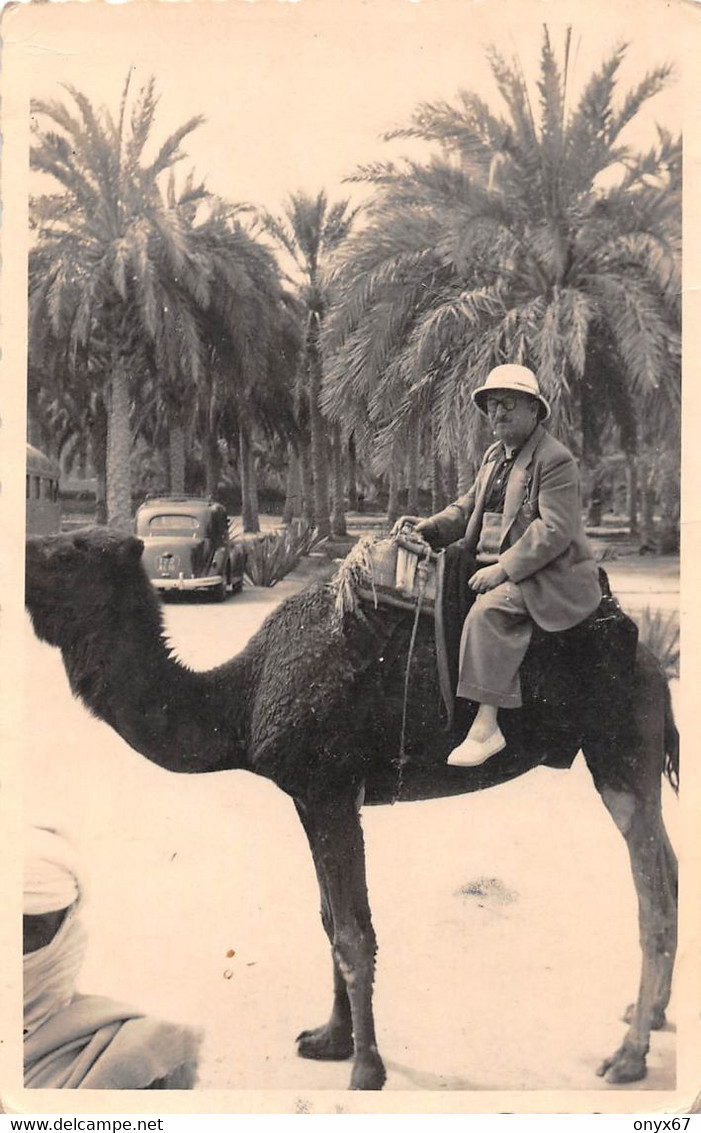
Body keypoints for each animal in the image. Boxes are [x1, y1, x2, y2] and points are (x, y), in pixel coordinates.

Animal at [24, 525, 679, 1092]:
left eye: (69, 552)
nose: (24, 555)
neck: (240, 699)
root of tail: (648, 657)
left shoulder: (330, 789)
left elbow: (352, 933)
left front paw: (365, 1069)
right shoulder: (310, 796)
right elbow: (327, 919)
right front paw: (328, 1040)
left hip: (618, 746)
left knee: (650, 891)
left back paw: (628, 1058)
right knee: (668, 867)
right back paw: (647, 1015)